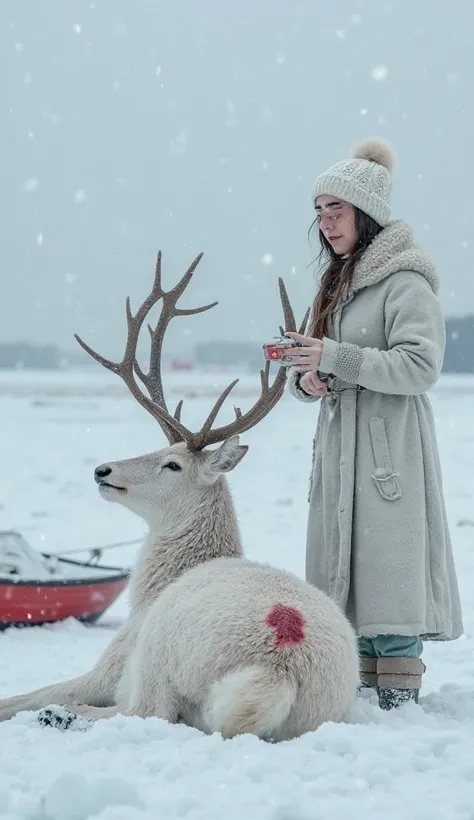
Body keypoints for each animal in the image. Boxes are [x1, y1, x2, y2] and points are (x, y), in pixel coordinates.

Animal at [0, 253, 358, 740]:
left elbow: (25, 695)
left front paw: (38, 705)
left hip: (157, 655)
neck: (152, 589)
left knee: (145, 711)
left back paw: (61, 716)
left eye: (173, 465)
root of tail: (279, 665)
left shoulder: (114, 660)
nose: (102, 469)